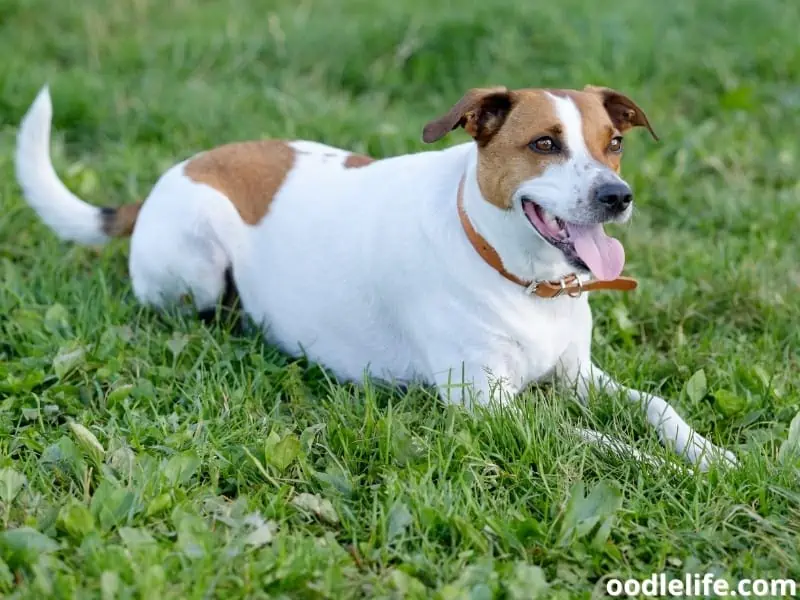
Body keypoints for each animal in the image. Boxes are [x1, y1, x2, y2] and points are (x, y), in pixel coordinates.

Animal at [14, 83, 736, 468]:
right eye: (544, 145)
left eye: (614, 143)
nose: (619, 196)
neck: (523, 278)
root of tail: (173, 173)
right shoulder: (490, 408)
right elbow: (600, 442)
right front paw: (672, 471)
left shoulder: (579, 375)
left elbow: (657, 407)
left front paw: (712, 454)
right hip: (195, 263)